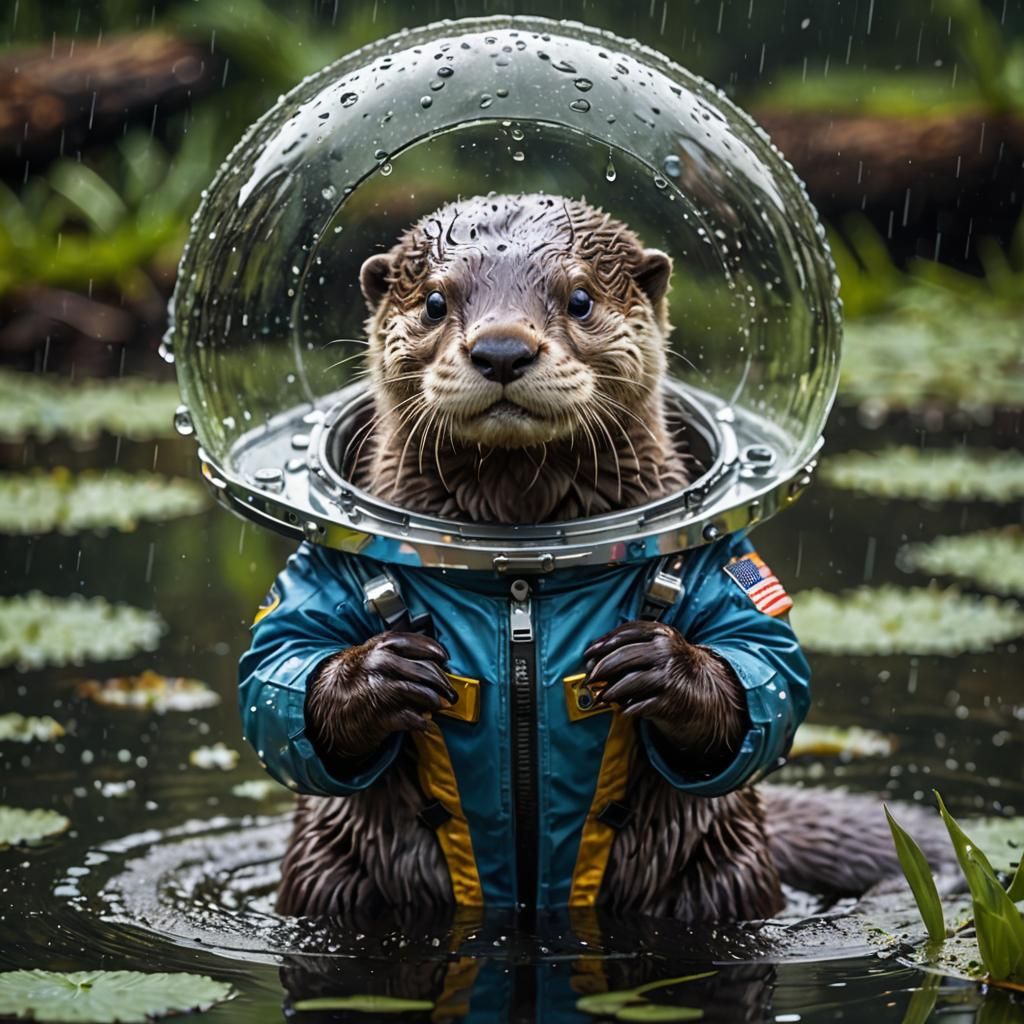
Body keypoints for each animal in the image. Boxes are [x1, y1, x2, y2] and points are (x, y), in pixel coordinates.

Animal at [268, 194, 935, 922]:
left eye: (580, 298)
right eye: (437, 303)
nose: (502, 349)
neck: (518, 558)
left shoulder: (726, 557)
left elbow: (770, 668)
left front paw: (657, 664)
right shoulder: (322, 563)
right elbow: (276, 663)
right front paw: (383, 671)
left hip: (717, 879)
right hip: (331, 876)